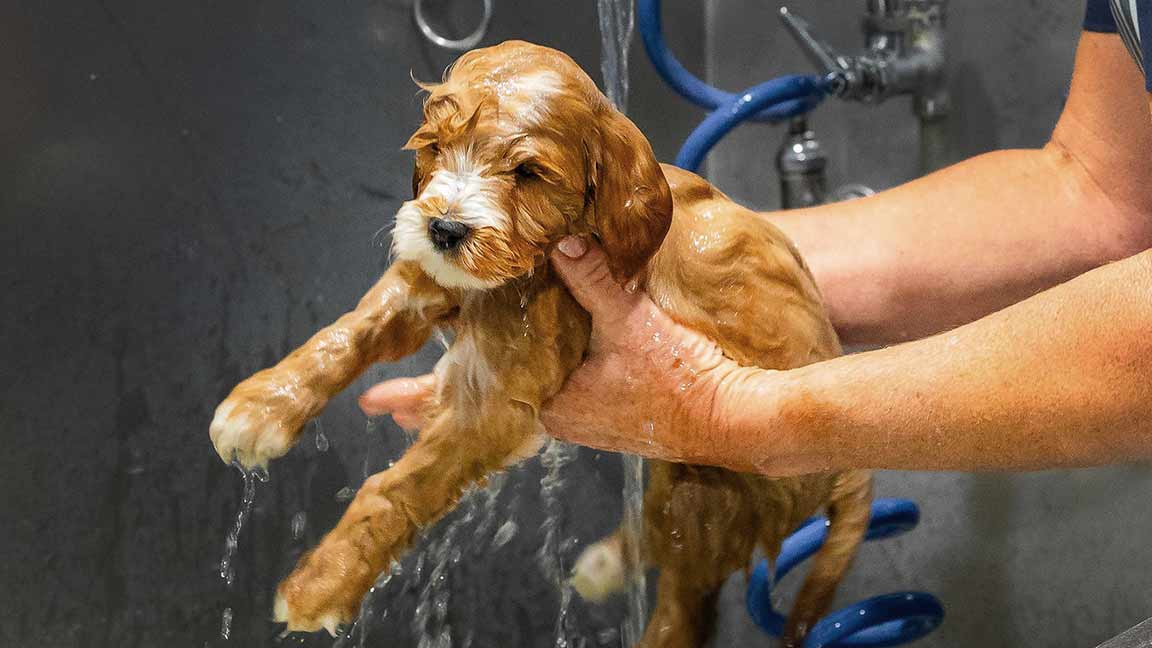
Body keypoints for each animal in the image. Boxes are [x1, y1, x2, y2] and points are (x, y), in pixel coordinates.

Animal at [209, 39, 870, 645]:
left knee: (685, 599)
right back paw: (607, 563)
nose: (444, 228)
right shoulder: (433, 280)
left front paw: (323, 581)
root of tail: (850, 476)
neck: (525, 272)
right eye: (434, 147)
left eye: (528, 173)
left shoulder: (498, 399)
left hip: (711, 492)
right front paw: (263, 405)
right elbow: (350, 330)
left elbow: (402, 485)